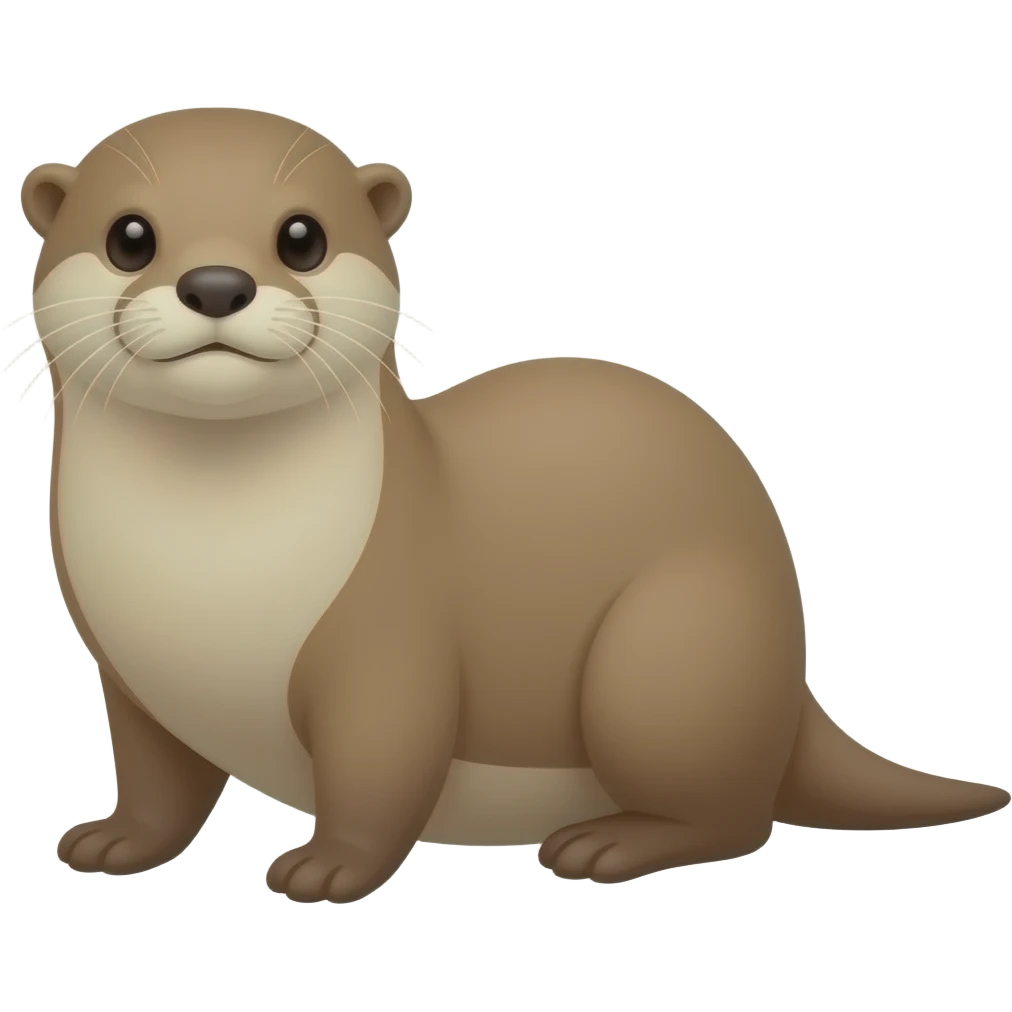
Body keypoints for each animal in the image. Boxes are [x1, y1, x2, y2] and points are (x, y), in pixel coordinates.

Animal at [13, 106, 1008, 905]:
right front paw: (115, 842)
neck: (213, 566)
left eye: (302, 236)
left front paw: (329, 867)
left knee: (736, 816)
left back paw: (607, 846)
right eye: (130, 236)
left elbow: (380, 771)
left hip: (670, 654)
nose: (217, 283)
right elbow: (155, 779)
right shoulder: (129, 672)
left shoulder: (392, 649)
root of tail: (791, 684)